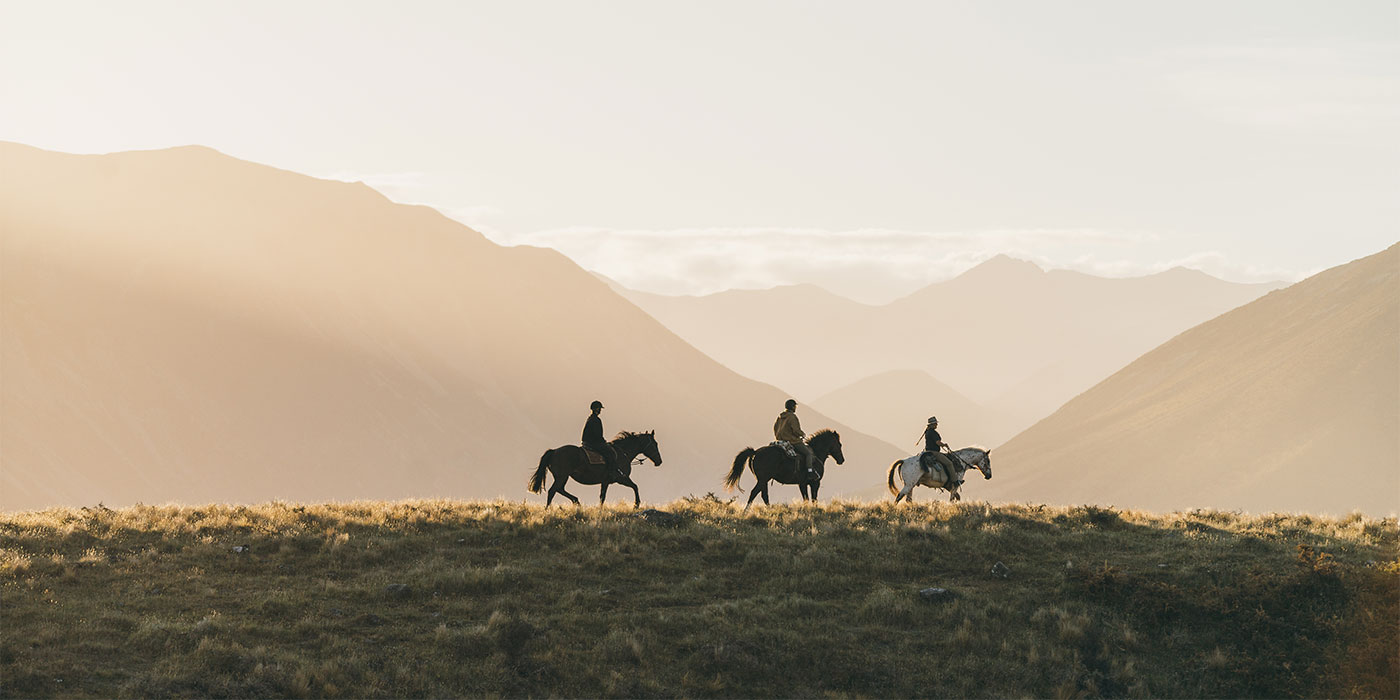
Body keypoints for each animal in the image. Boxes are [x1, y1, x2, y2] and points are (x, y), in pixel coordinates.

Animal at [526, 428, 663, 506]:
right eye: (655, 444)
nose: (659, 461)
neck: (623, 452)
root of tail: (554, 451)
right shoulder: (621, 478)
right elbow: (635, 486)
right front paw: (636, 504)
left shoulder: (606, 482)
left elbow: (602, 497)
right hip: (562, 476)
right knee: (552, 491)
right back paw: (548, 509)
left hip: (563, 477)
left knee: (560, 489)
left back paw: (576, 501)